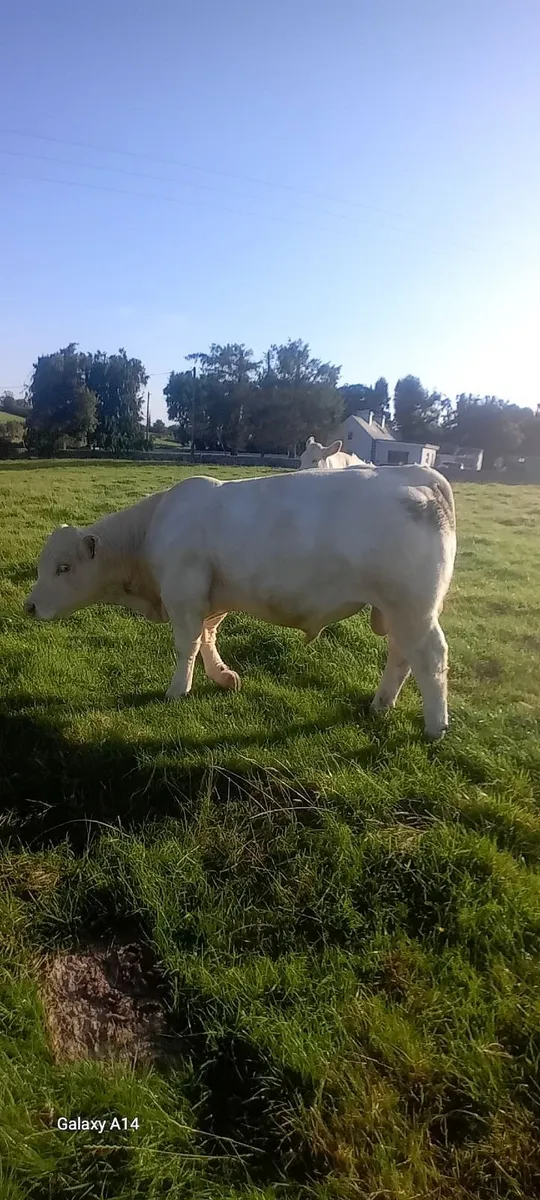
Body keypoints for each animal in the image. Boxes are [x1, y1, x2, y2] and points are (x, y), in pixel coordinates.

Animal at [24, 465, 456, 739]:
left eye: (63, 567)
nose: (29, 607)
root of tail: (418, 475)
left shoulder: (183, 593)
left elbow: (187, 644)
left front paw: (178, 690)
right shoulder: (211, 597)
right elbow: (207, 638)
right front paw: (221, 676)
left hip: (413, 609)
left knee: (430, 658)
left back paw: (435, 726)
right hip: (399, 611)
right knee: (401, 655)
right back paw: (381, 705)